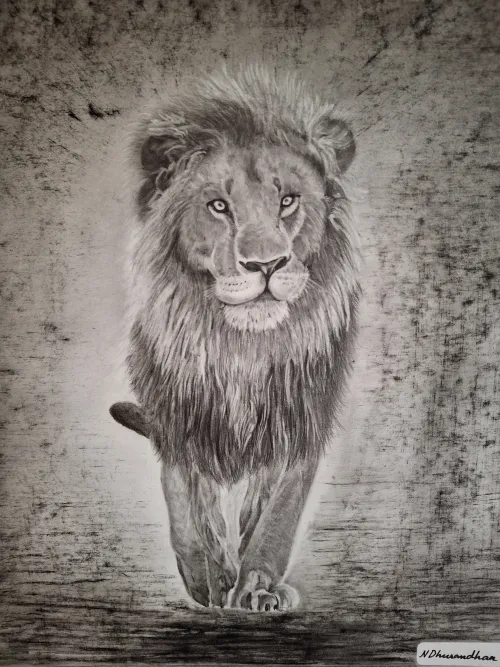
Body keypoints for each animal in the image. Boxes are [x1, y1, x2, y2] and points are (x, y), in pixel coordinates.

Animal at [110, 66, 360, 611]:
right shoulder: (176, 411)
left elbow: (279, 511)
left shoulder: (303, 412)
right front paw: (206, 579)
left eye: (288, 200)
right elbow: (183, 499)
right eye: (219, 206)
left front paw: (258, 586)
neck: (241, 347)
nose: (267, 265)